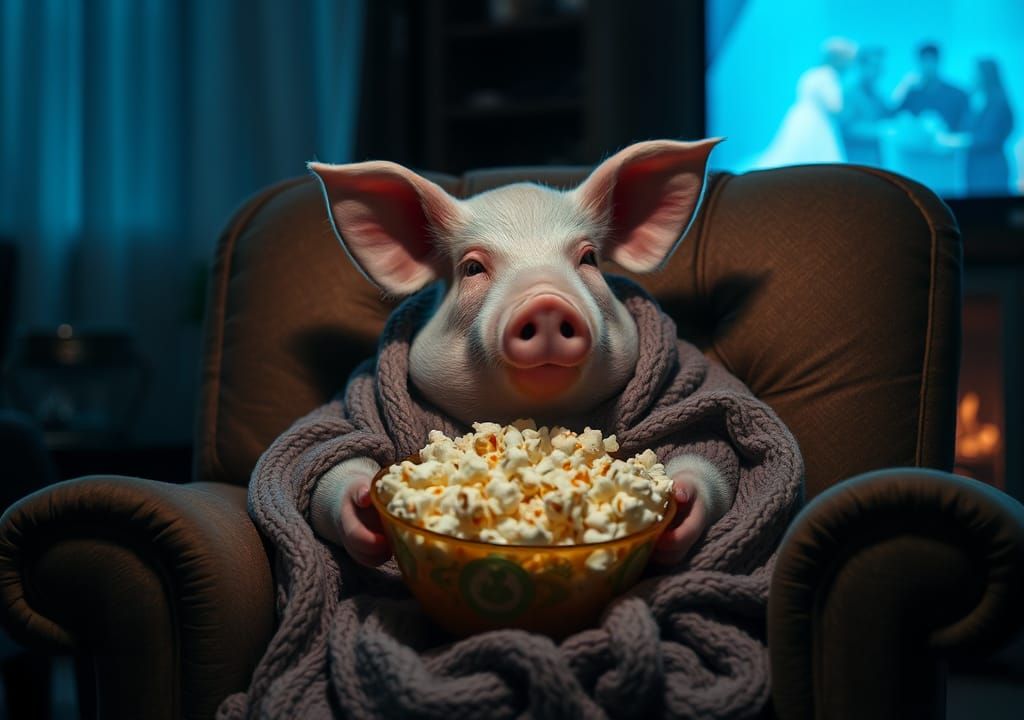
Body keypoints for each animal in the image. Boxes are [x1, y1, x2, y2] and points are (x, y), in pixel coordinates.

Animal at [307, 139, 729, 569]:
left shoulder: (685, 382)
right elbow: (329, 436)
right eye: (472, 267)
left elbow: (708, 434)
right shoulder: (361, 394)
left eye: (589, 258)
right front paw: (363, 499)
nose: (546, 303)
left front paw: (680, 498)